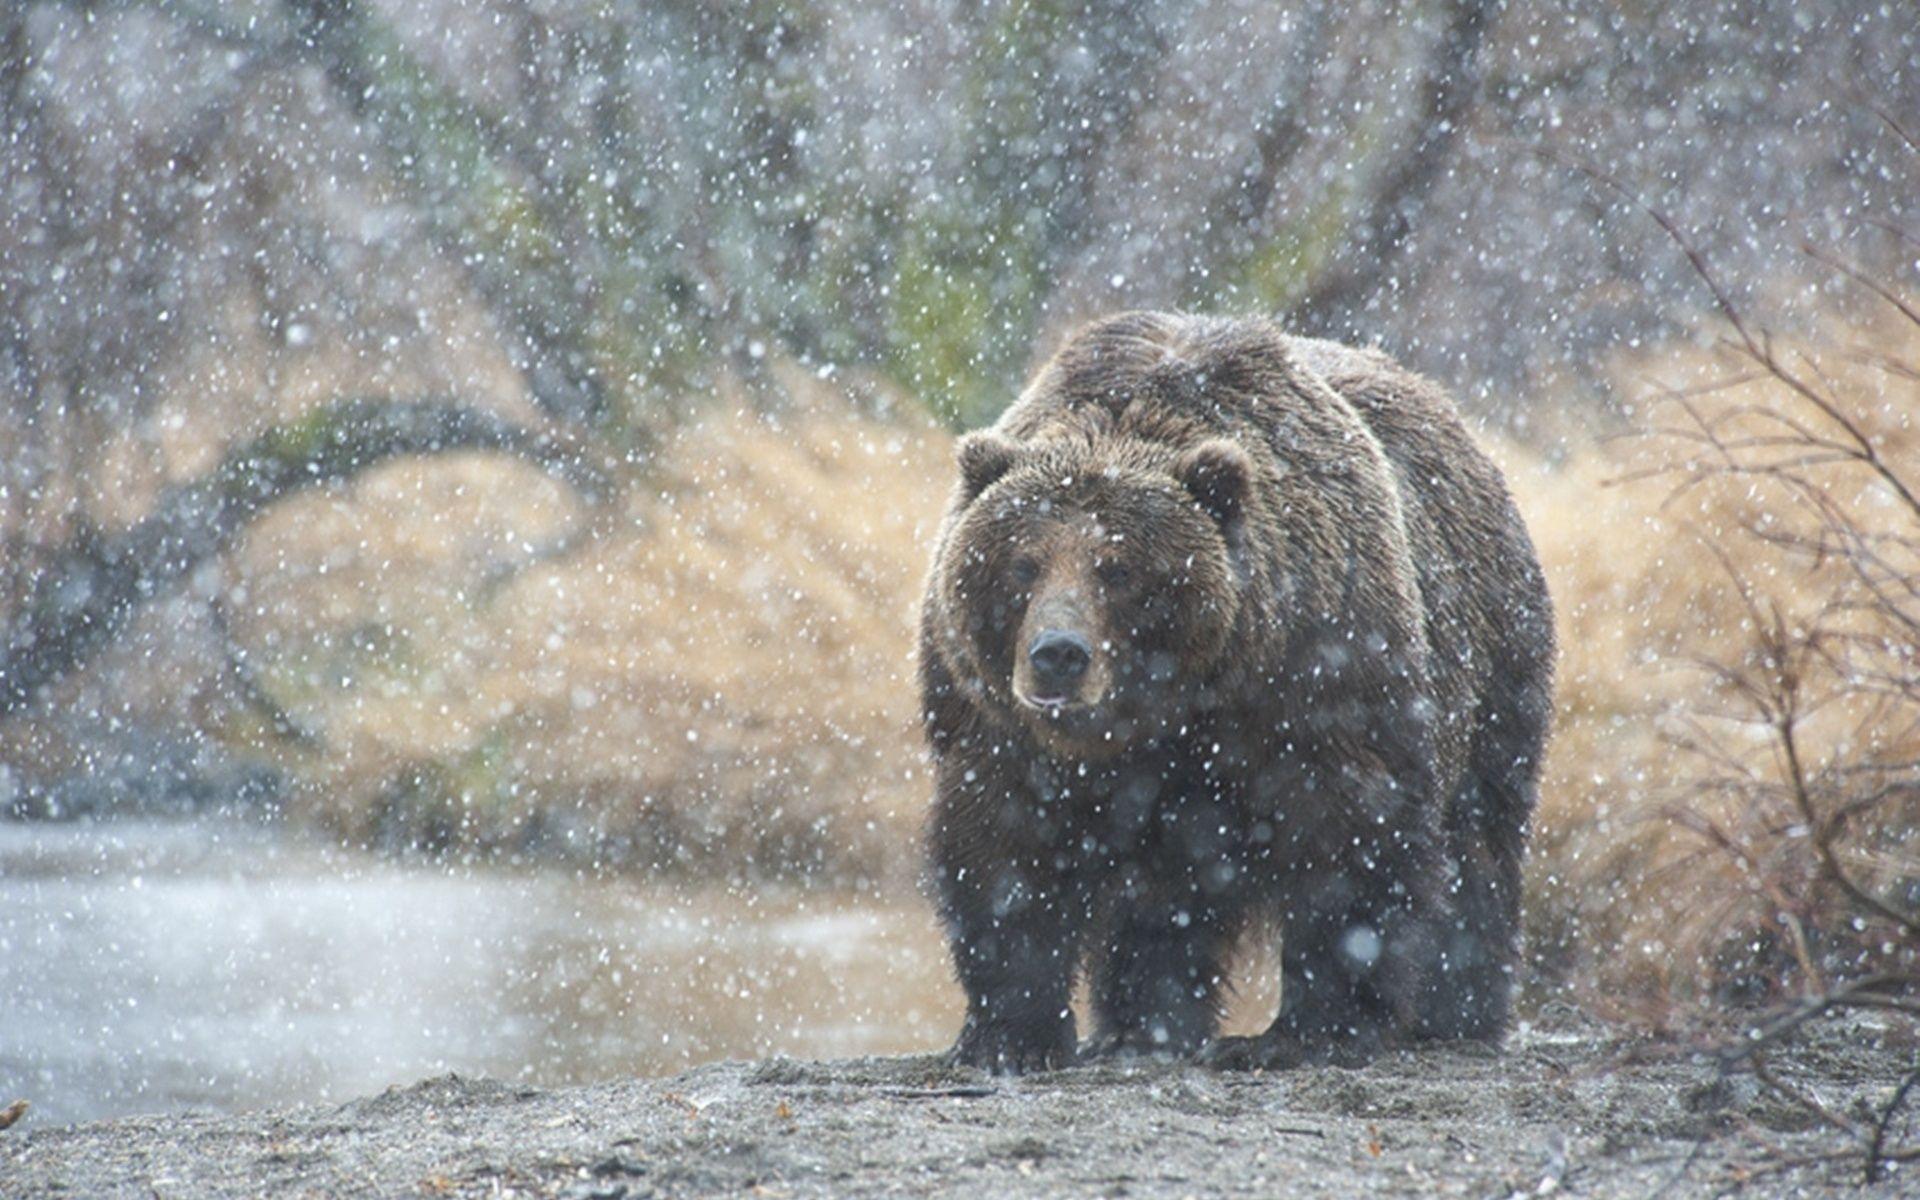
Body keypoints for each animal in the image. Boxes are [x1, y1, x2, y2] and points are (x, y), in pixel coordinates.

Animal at [919, 311, 1554, 1073]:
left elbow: (1347, 839)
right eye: (1022, 563)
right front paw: (1010, 1037)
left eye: (1118, 569)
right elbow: (1004, 849)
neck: (1170, 707)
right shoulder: (994, 721)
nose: (1058, 656)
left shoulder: (1318, 671)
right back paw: (1140, 1027)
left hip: (1491, 660)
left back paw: (1457, 1013)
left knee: (1477, 839)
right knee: (1165, 894)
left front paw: (1307, 1032)